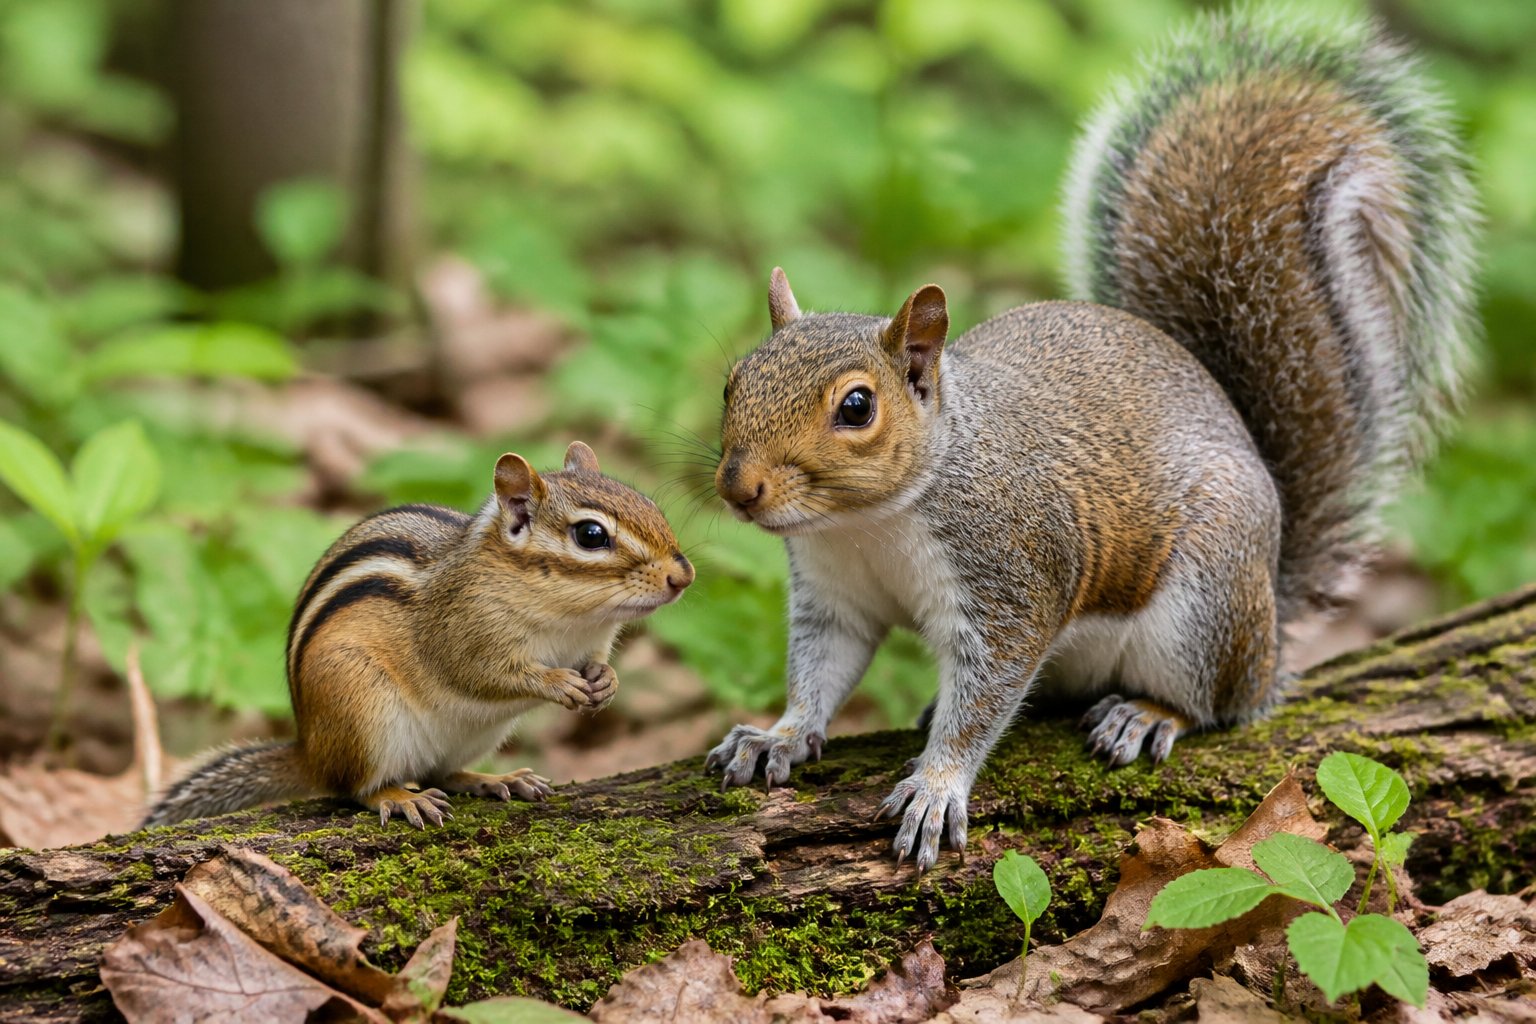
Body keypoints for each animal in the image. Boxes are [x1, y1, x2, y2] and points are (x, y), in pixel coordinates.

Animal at [143, 442, 694, 828]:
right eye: (591, 535)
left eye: (650, 504)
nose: (683, 576)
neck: (573, 619)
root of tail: (310, 750)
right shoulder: (461, 634)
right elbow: (486, 675)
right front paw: (559, 683)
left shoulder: (593, 640)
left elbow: (598, 662)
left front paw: (606, 681)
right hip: (361, 709)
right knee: (354, 789)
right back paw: (398, 798)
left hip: (473, 734)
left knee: (439, 772)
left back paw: (496, 779)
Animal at [704, 7, 1478, 871]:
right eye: (733, 381)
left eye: (857, 407)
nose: (738, 487)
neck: (869, 523)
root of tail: (1271, 628)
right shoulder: (834, 595)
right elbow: (822, 671)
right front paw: (778, 735)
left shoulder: (1015, 577)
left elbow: (989, 694)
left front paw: (937, 786)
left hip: (1205, 602)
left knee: (1215, 703)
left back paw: (1148, 714)